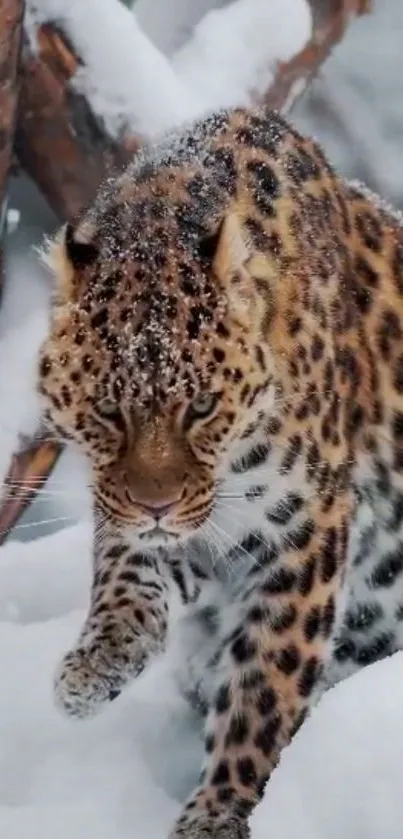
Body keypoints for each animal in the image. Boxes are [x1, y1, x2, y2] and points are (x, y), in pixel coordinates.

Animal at [37, 105, 403, 839]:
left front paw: (217, 811)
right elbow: (125, 567)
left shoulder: (303, 534)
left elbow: (265, 684)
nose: (157, 505)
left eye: (201, 406)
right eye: (107, 410)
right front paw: (99, 661)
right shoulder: (157, 513)